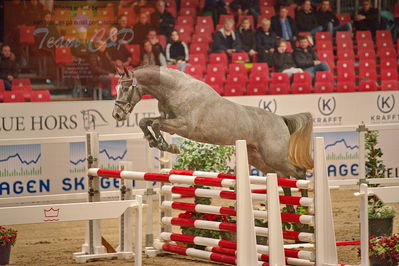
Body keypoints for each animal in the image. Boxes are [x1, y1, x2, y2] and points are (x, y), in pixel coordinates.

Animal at [111, 65, 314, 180]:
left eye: (126, 88)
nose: (117, 115)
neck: (176, 89)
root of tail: (281, 119)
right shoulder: (170, 120)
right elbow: (145, 121)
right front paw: (153, 141)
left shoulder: (184, 125)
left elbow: (155, 124)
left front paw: (167, 146)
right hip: (260, 158)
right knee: (284, 176)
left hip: (274, 157)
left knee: (299, 172)